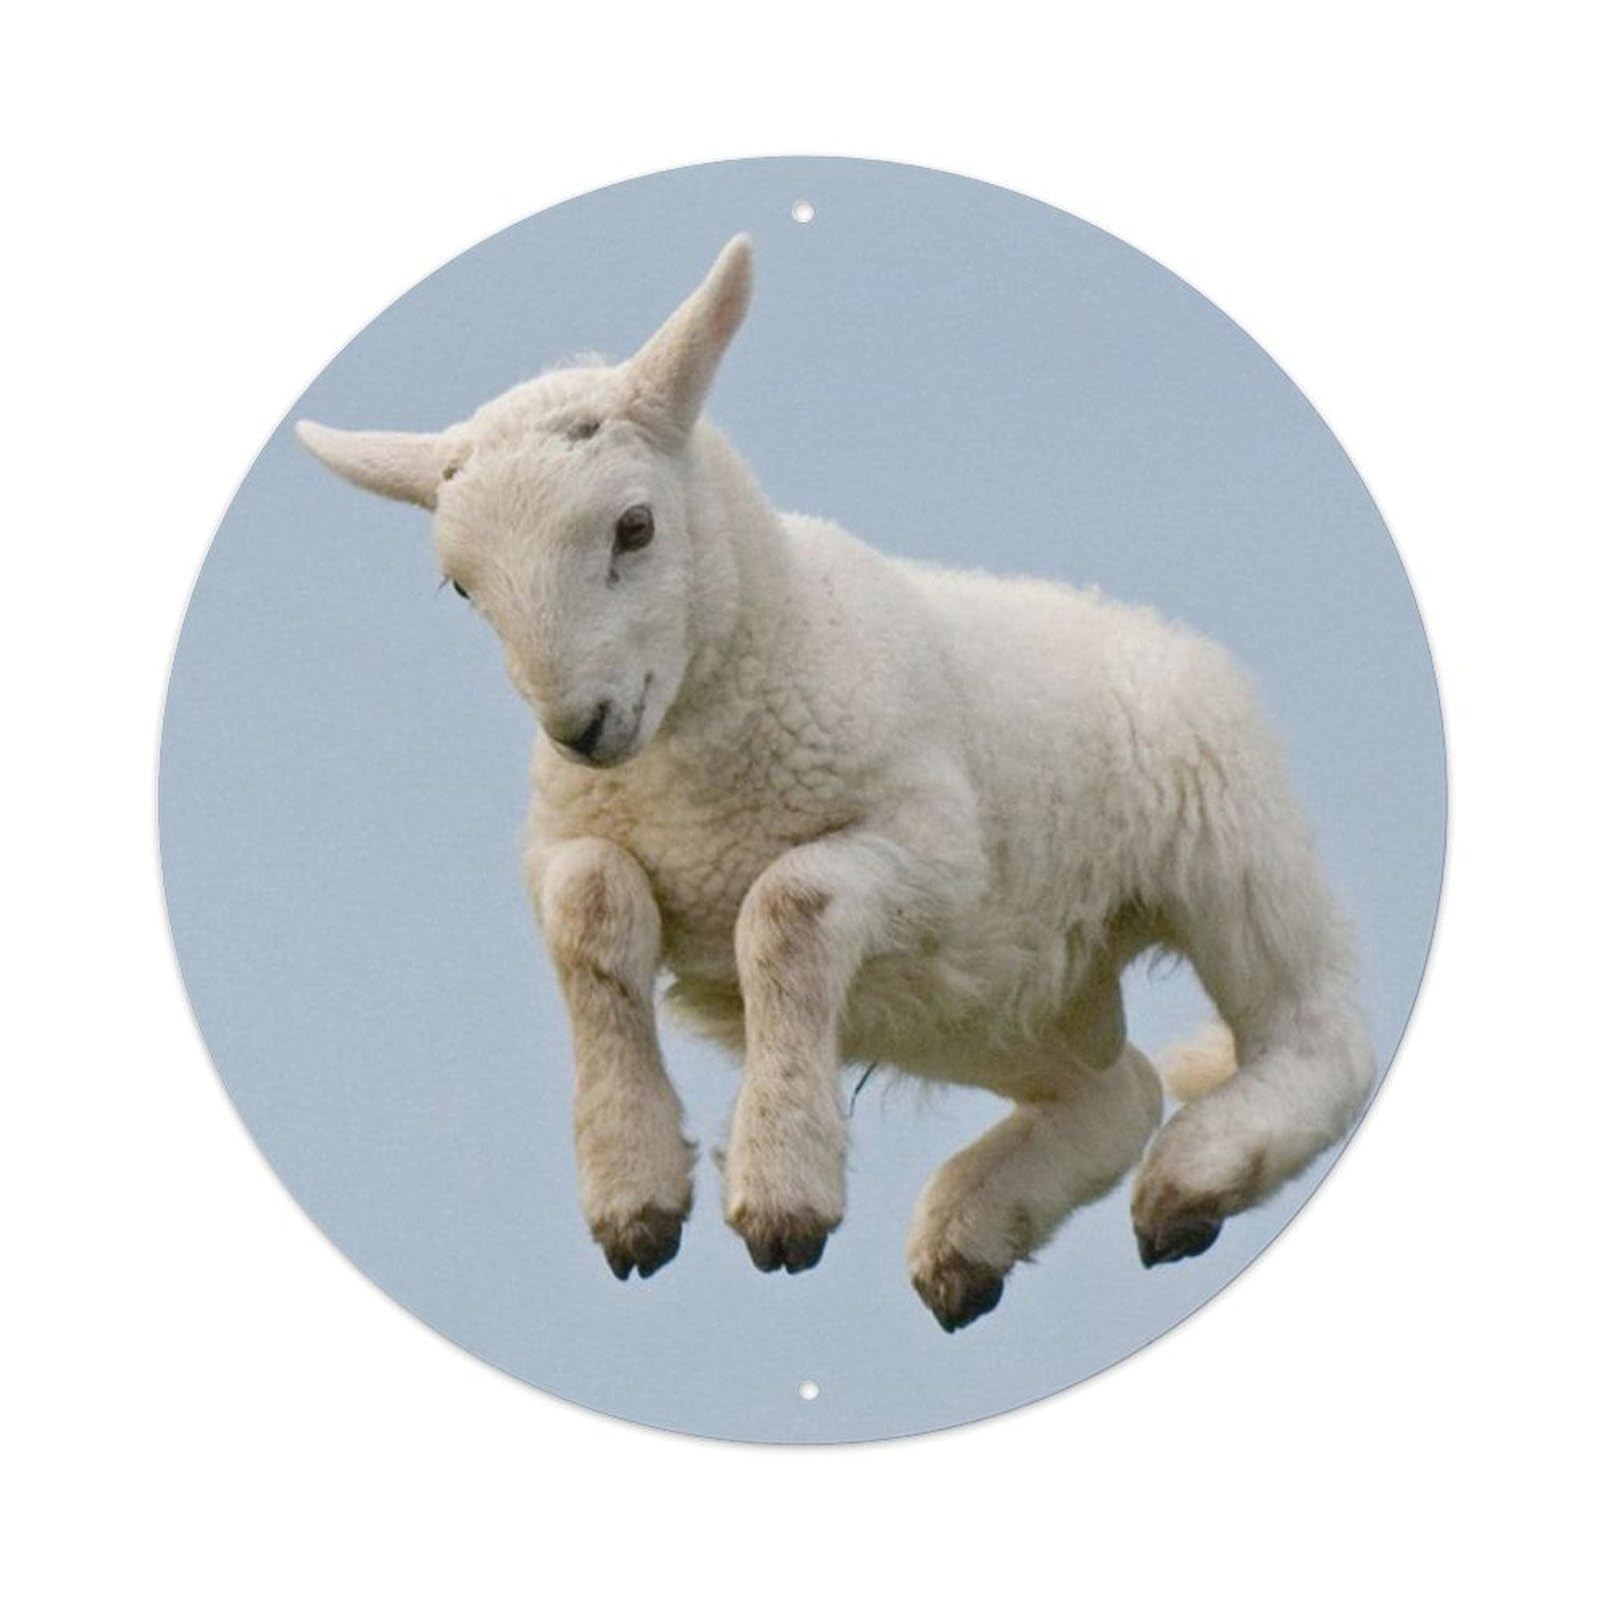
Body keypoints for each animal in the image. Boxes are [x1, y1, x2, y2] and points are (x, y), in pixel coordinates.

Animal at [296, 235, 1373, 1331]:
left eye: (634, 527)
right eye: (463, 585)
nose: (580, 728)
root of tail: (1132, 620)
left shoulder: (935, 852)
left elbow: (787, 911)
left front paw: (781, 1196)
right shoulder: (566, 842)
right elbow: (592, 915)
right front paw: (635, 1196)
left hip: (1220, 830)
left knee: (1317, 1033)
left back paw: (1195, 1176)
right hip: (983, 996)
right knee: (1118, 1087)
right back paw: (978, 1238)